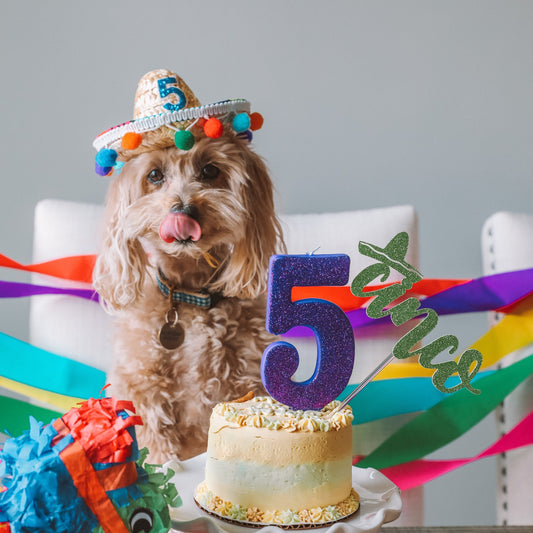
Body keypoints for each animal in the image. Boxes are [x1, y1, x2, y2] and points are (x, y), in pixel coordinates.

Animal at [92, 70, 282, 462]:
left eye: (210, 170)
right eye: (154, 175)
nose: (183, 210)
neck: (190, 294)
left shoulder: (244, 380)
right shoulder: (143, 390)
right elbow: (157, 449)